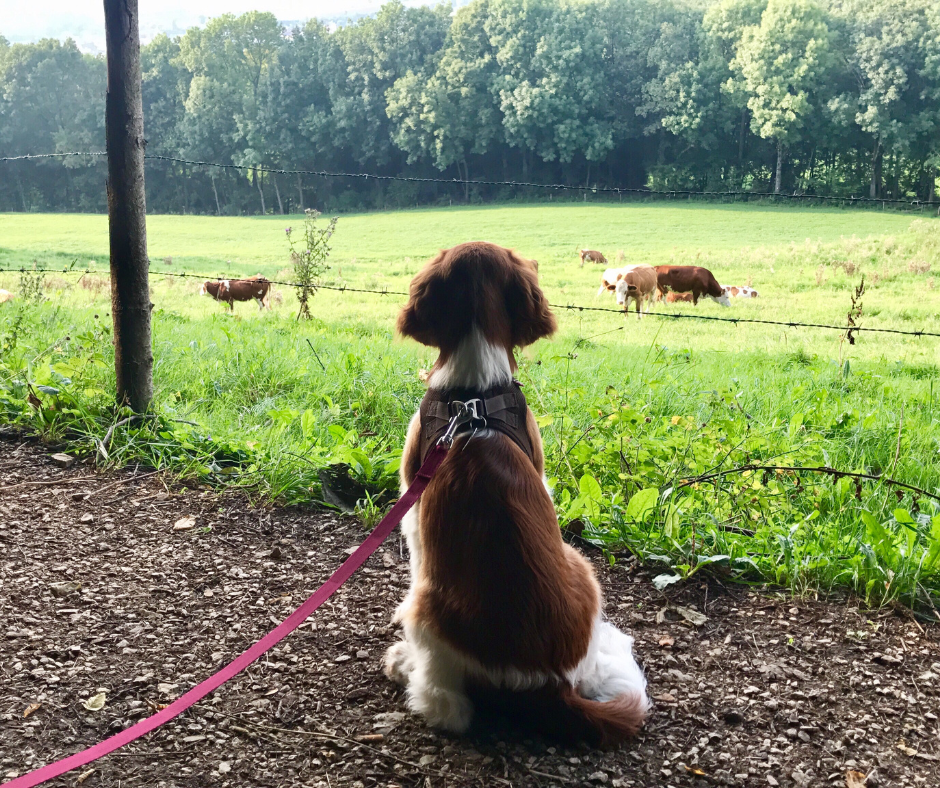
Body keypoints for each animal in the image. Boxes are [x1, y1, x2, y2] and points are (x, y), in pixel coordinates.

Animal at [386, 240, 648, 744]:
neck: (473, 396)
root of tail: (545, 684)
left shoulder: (414, 499)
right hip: (582, 570)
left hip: (428, 608)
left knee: (448, 708)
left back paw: (406, 666)